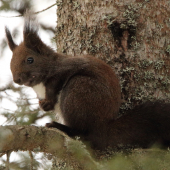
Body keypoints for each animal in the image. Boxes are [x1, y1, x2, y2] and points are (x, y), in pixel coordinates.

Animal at [5, 12, 170, 150]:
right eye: (11, 62)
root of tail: (102, 128)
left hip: (79, 92)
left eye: (30, 60)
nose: (17, 79)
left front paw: (48, 102)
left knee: (82, 131)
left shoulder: (65, 68)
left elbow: (56, 83)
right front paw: (43, 105)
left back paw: (61, 127)